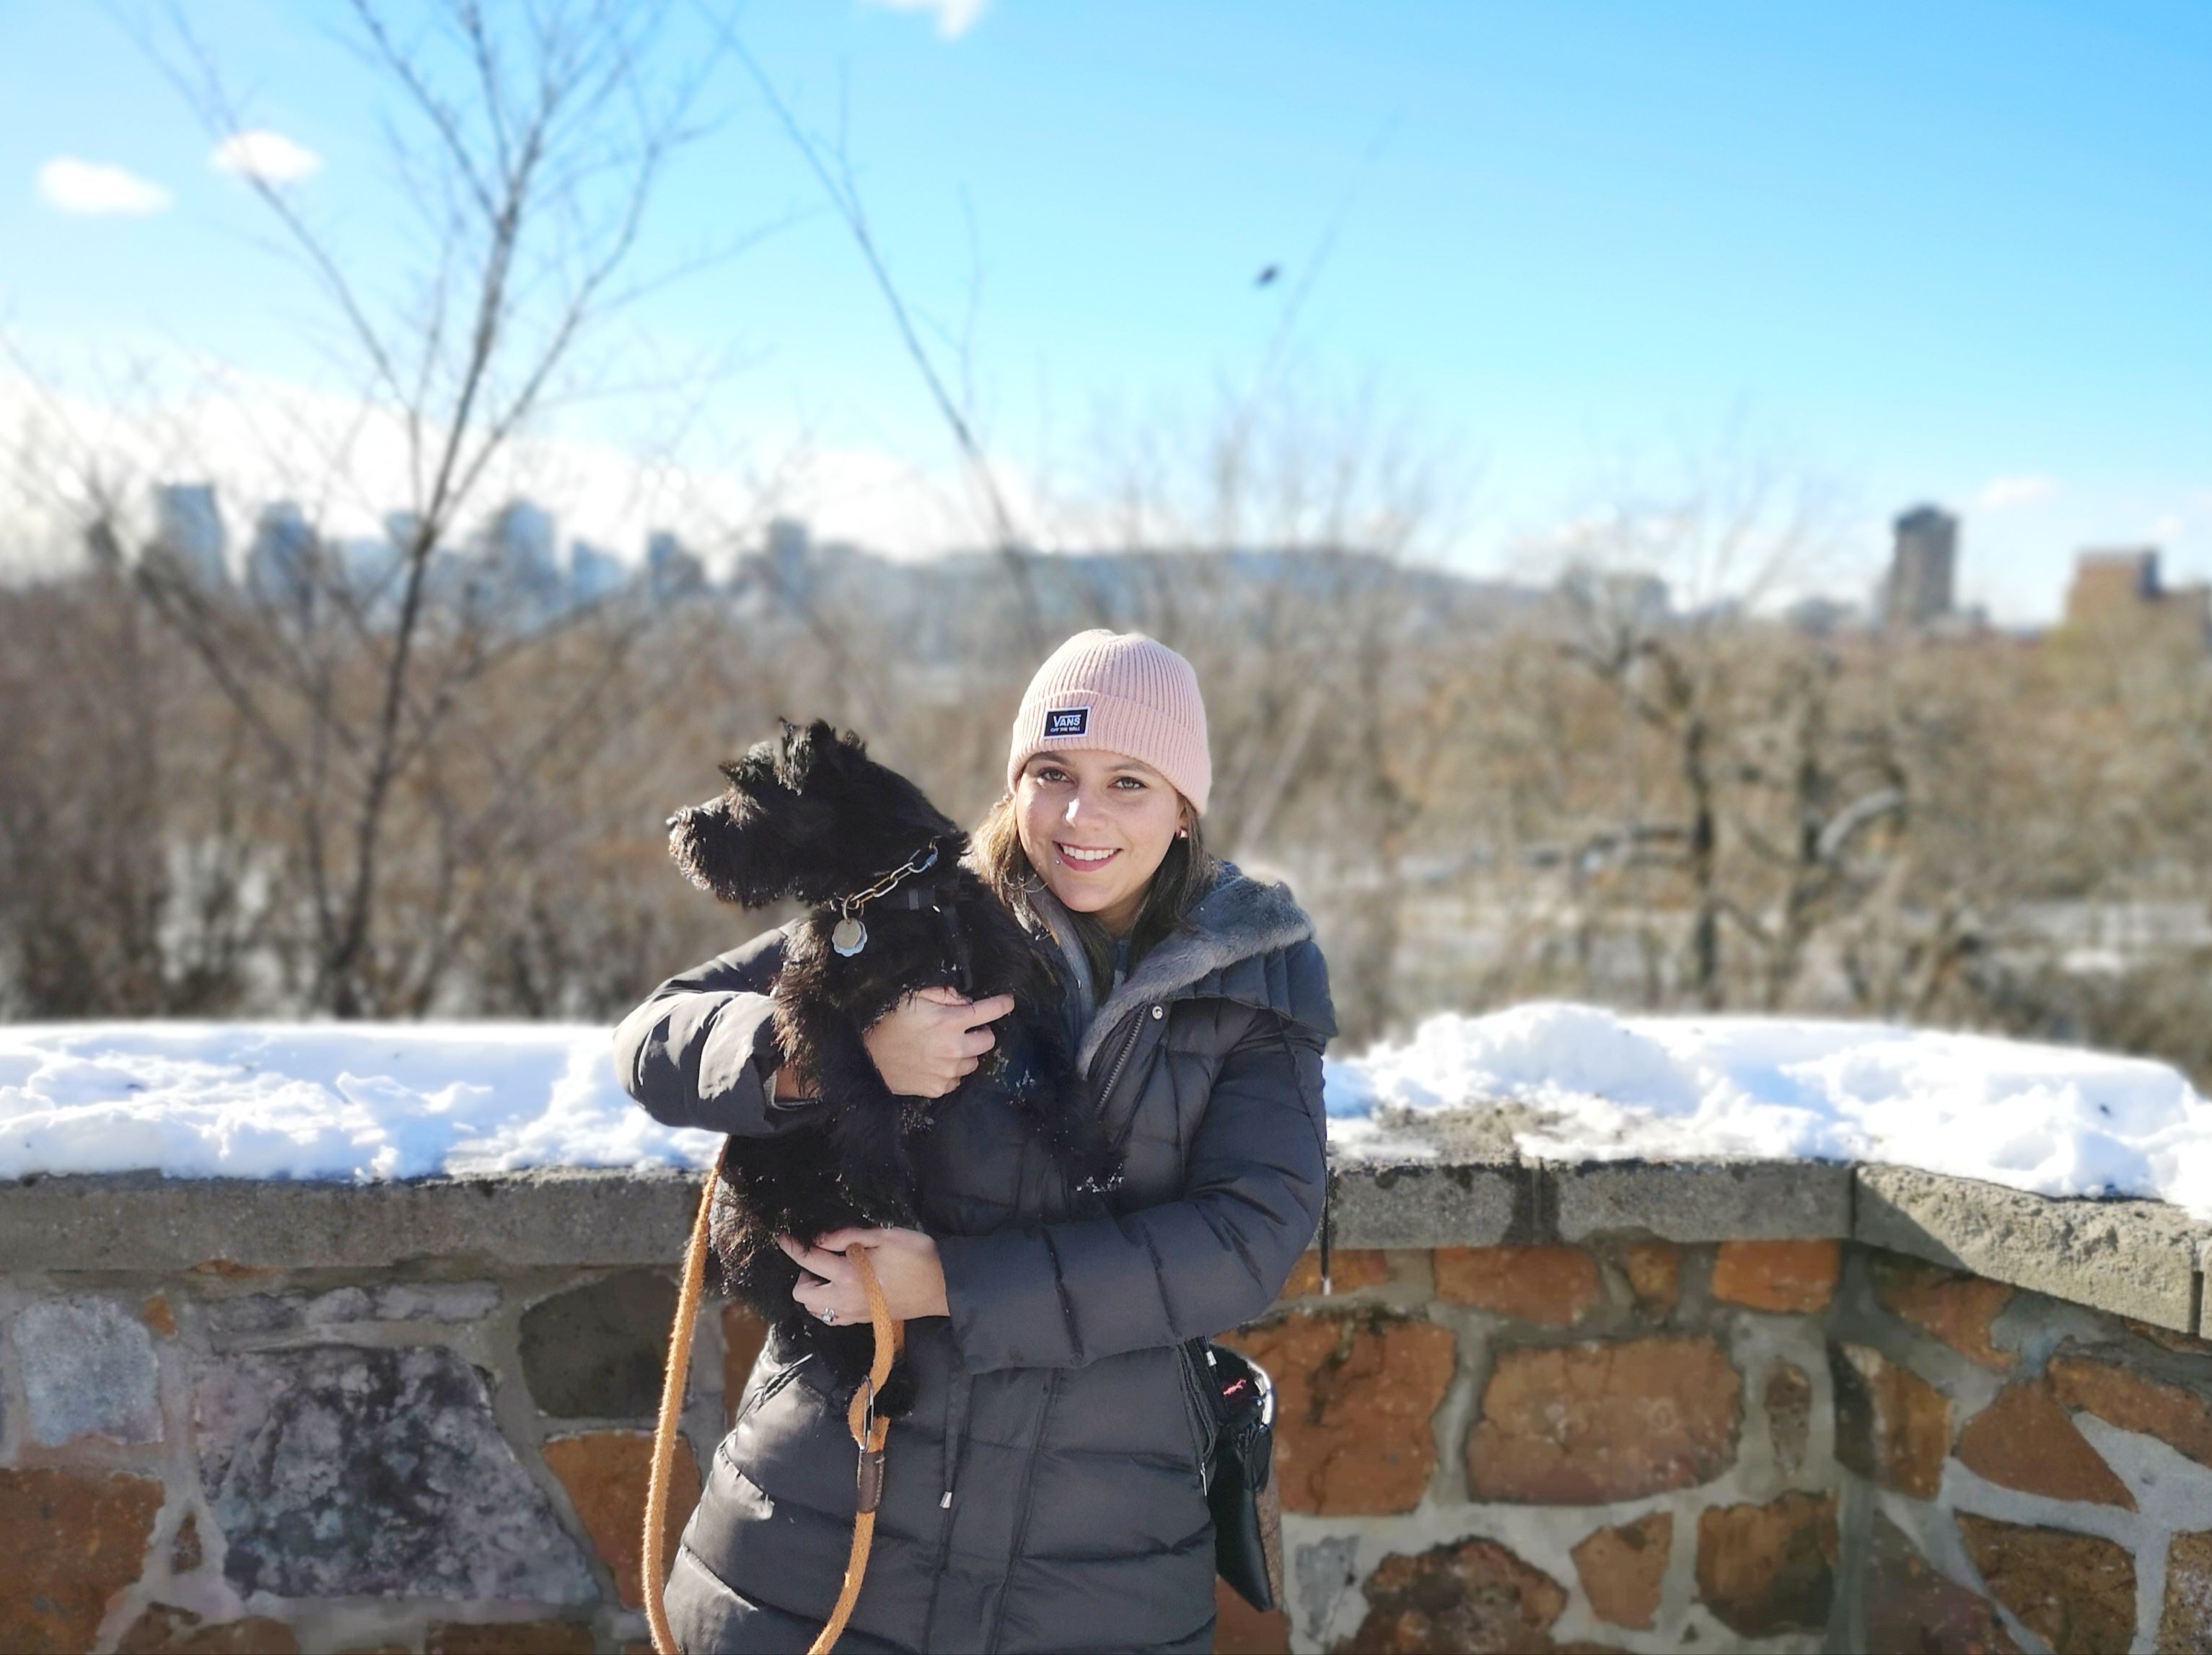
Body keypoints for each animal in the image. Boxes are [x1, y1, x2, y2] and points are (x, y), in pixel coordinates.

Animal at [654, 725, 1106, 1407]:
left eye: (748, 788)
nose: (677, 825)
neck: (895, 896)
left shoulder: (1010, 995)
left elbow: (1048, 1075)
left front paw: (1091, 1164)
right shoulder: (812, 1006)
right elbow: (859, 1081)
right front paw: (877, 1174)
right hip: (780, 1232)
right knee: (809, 1318)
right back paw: (886, 1387)